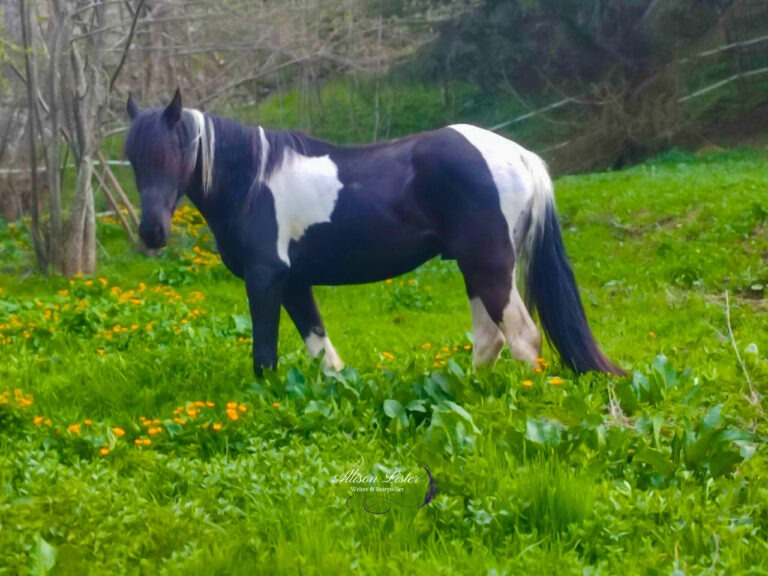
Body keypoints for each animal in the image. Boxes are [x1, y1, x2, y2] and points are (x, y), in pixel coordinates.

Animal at [124, 89, 623, 377]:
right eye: (132, 157)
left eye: (172, 153)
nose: (151, 233)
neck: (251, 181)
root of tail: (519, 155)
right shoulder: (294, 282)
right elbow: (321, 350)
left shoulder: (265, 278)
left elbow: (264, 355)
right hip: (476, 268)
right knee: (490, 339)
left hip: (490, 265)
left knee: (522, 338)